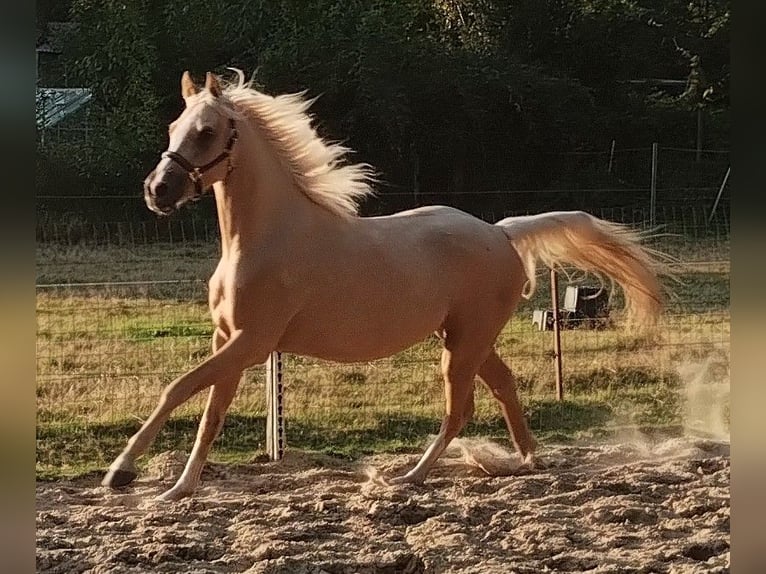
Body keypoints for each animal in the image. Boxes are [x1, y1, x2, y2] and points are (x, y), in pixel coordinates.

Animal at [103, 70, 672, 502]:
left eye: (206, 131)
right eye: (174, 125)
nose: (158, 190)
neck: (264, 239)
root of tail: (501, 231)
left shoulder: (252, 342)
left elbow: (178, 388)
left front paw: (122, 473)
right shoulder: (229, 340)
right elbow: (210, 414)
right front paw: (179, 487)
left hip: (463, 344)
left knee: (460, 409)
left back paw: (410, 477)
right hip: (465, 338)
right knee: (503, 386)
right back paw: (528, 460)